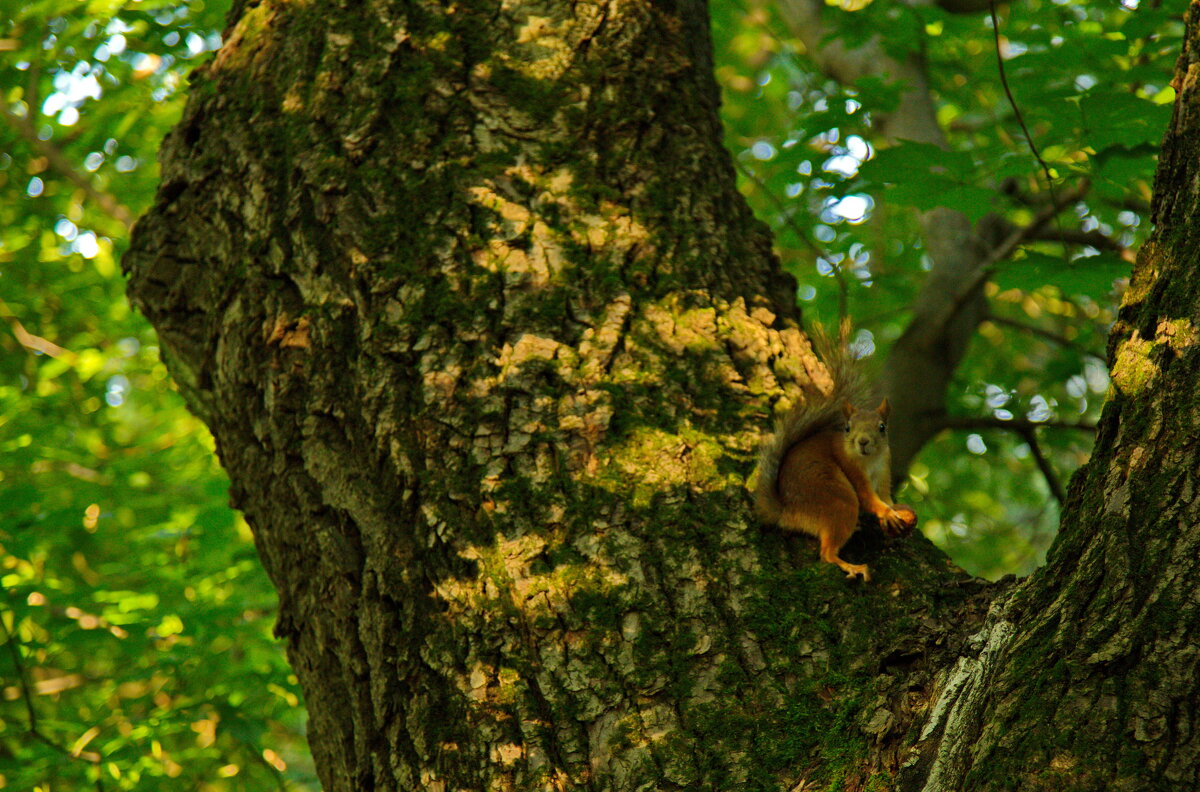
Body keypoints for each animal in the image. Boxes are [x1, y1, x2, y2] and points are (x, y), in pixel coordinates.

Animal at [753, 324, 912, 580]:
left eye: (882, 427)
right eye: (847, 428)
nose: (863, 442)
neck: (869, 460)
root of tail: (788, 513)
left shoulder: (884, 467)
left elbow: (884, 494)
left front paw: (893, 510)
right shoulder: (851, 468)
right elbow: (868, 497)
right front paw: (885, 512)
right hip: (838, 500)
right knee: (826, 554)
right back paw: (851, 566)